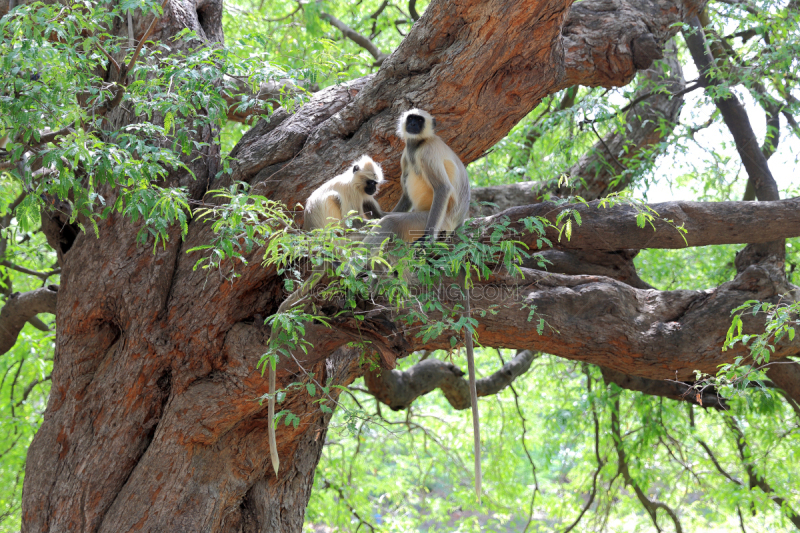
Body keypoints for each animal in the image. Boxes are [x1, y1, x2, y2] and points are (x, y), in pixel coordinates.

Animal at [268, 154, 388, 474]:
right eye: (370, 181)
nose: (374, 189)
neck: (355, 184)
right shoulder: (352, 193)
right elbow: (355, 213)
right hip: (333, 233)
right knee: (338, 209)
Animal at [364, 109, 478, 502]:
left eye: (419, 120)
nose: (413, 126)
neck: (416, 145)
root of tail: (455, 226)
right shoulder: (407, 154)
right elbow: (401, 188)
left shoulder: (425, 153)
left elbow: (441, 187)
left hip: (426, 219)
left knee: (396, 225)